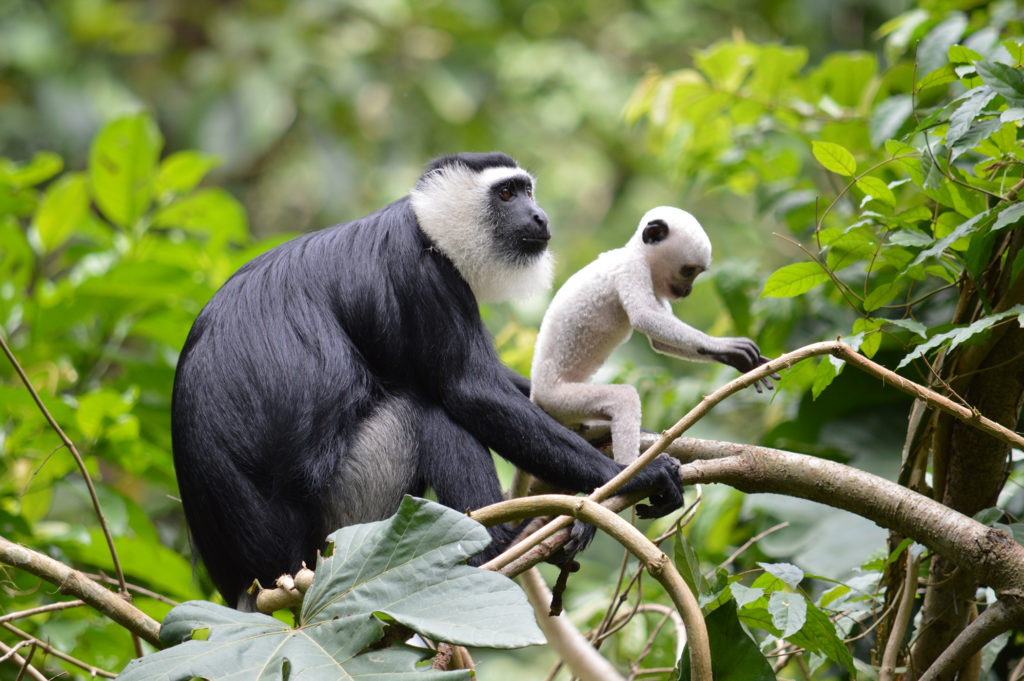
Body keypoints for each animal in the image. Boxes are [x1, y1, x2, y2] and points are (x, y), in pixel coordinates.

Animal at [172, 152, 684, 606]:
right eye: (507, 193)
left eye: (527, 191)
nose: (538, 215)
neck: (424, 223)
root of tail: (255, 578)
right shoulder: (424, 274)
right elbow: (470, 392)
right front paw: (629, 476)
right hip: (347, 517)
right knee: (424, 412)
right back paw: (500, 544)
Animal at [532, 204, 770, 464]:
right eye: (688, 271)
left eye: (697, 273)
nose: (687, 291)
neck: (638, 253)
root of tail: (537, 395)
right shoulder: (633, 267)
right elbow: (643, 316)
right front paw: (724, 346)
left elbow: (658, 342)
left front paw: (738, 360)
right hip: (561, 399)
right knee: (624, 399)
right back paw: (632, 470)